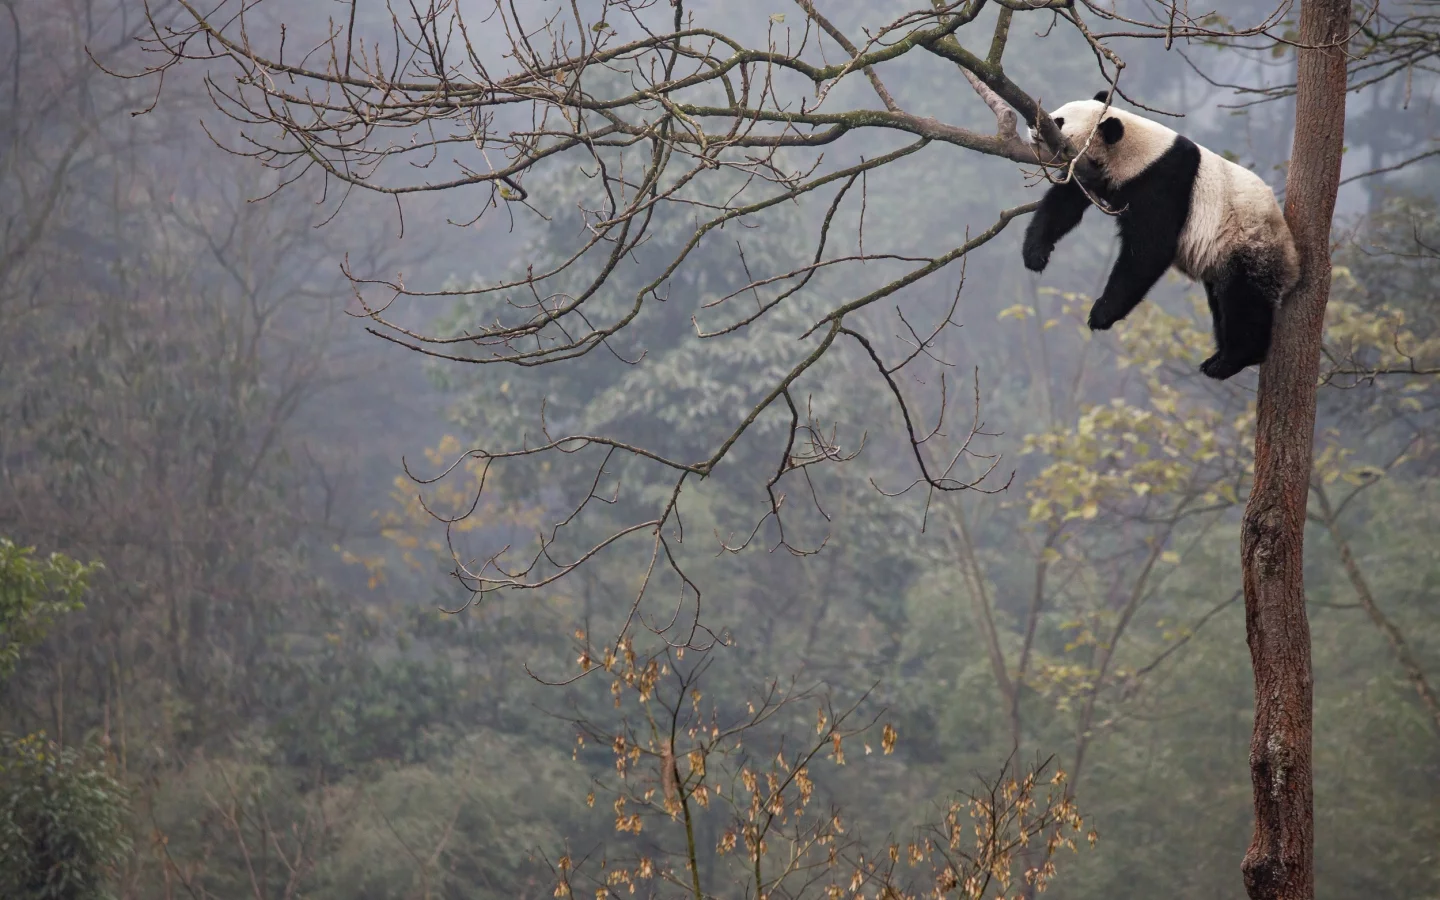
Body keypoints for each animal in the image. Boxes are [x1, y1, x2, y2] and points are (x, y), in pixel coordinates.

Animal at [1019, 93, 1301, 380]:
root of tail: (1293, 264)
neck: (1136, 151)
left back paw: (1231, 360)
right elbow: (1065, 202)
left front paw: (1101, 314)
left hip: (1249, 243)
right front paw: (1035, 254)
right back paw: (1218, 358)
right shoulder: (1091, 172)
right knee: (1222, 302)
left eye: (1058, 121)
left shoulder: (1162, 182)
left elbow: (1149, 249)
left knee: (1244, 301)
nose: (1031, 124)